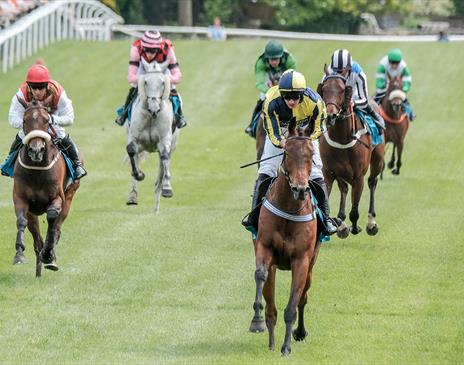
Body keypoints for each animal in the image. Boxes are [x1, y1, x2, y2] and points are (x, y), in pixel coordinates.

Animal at [12, 96, 80, 276]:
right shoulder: (20, 198)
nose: (36, 151)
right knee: (37, 240)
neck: (37, 171)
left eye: (47, 120)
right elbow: (21, 220)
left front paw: (49, 255)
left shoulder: (57, 198)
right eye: (24, 120)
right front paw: (19, 254)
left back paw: (49, 257)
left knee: (57, 227)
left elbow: (52, 220)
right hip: (33, 213)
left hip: (69, 196)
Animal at [248, 119, 320, 356]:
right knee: (271, 305)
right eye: (287, 153)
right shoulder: (264, 247)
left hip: (311, 266)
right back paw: (269, 337)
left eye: (311, 153)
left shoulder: (301, 260)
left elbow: (293, 305)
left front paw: (286, 347)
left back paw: (299, 333)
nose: (300, 188)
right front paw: (257, 321)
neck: (290, 208)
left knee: (303, 298)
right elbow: (260, 275)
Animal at [320, 65, 384, 236]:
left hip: (378, 159)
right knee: (344, 188)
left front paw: (355, 227)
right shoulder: (329, 172)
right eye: (324, 88)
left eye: (343, 90)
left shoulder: (358, 175)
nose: (331, 115)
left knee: (372, 182)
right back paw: (342, 224)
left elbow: (354, 210)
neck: (342, 139)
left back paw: (371, 222)